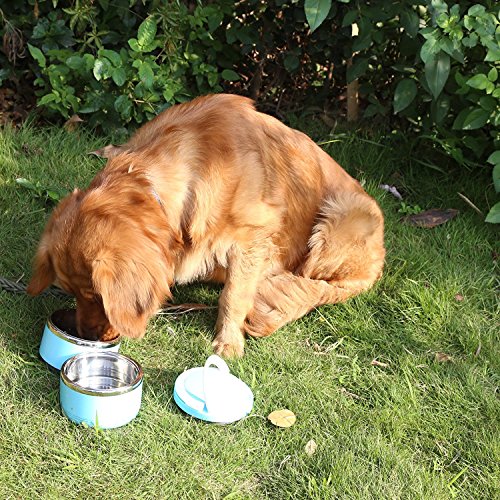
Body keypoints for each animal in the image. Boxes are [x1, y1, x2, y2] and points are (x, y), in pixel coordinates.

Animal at [27, 94, 384, 358]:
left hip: (345, 217)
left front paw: (228, 342)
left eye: (96, 296)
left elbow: (234, 295)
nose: (86, 335)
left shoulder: (253, 236)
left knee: (314, 280)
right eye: (71, 293)